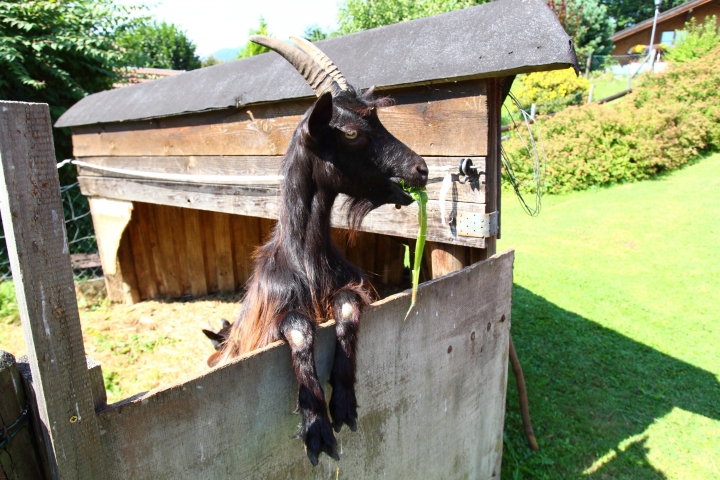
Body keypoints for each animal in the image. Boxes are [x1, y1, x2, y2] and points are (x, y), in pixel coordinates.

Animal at [212, 36, 428, 464]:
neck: (306, 264)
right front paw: (316, 425)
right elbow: (299, 328)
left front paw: (343, 402)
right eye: (351, 133)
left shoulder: (352, 288)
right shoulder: (269, 322)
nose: (421, 169)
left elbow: (345, 305)